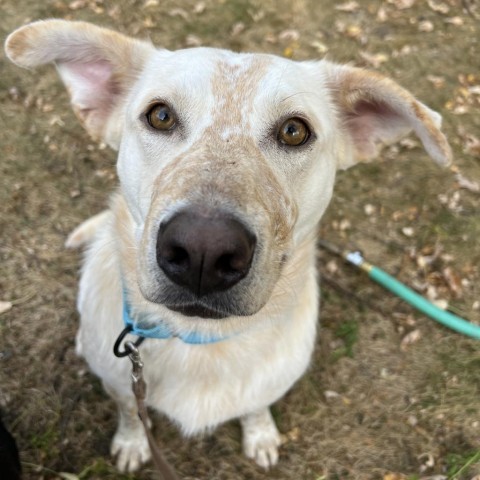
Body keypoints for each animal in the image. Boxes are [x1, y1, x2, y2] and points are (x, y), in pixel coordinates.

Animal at [5, 19, 452, 472]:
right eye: (160, 116)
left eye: (294, 131)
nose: (204, 251)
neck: (200, 342)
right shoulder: (121, 384)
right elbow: (131, 411)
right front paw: (132, 442)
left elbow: (255, 406)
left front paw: (260, 434)